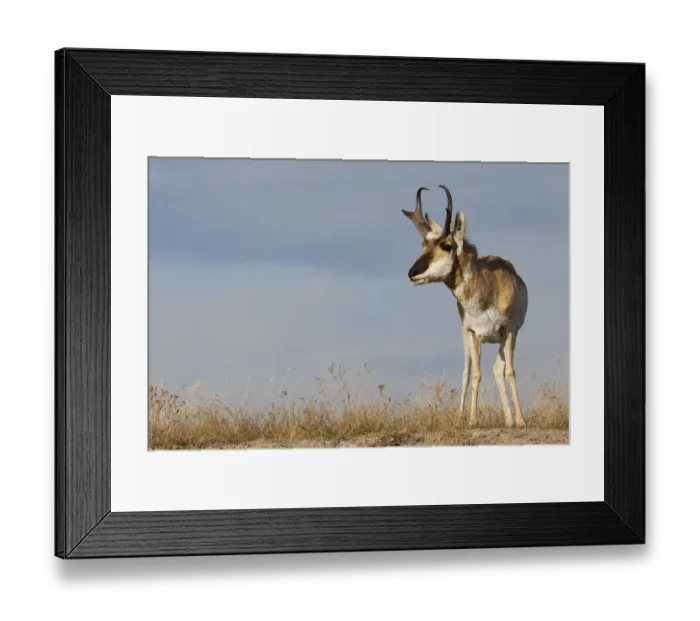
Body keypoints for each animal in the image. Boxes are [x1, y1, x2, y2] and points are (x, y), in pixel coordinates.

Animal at [402, 186, 528, 428]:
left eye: (446, 245)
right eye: (424, 244)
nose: (412, 273)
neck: (488, 286)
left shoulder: (509, 331)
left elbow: (510, 372)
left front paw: (520, 420)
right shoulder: (473, 332)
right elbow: (475, 374)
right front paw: (471, 419)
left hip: (502, 339)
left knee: (498, 369)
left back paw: (509, 420)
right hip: (467, 338)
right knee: (467, 371)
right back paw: (462, 417)